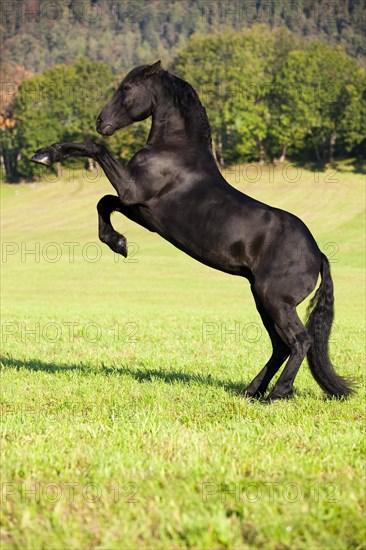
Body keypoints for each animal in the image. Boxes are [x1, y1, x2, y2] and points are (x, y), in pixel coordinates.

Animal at [30, 60, 352, 404]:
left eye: (126, 88)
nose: (101, 122)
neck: (175, 150)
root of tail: (317, 254)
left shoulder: (131, 190)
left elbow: (95, 151)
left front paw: (46, 154)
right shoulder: (136, 206)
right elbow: (104, 202)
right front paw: (118, 243)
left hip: (275, 300)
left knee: (299, 341)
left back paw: (277, 393)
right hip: (262, 299)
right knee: (281, 346)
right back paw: (251, 391)